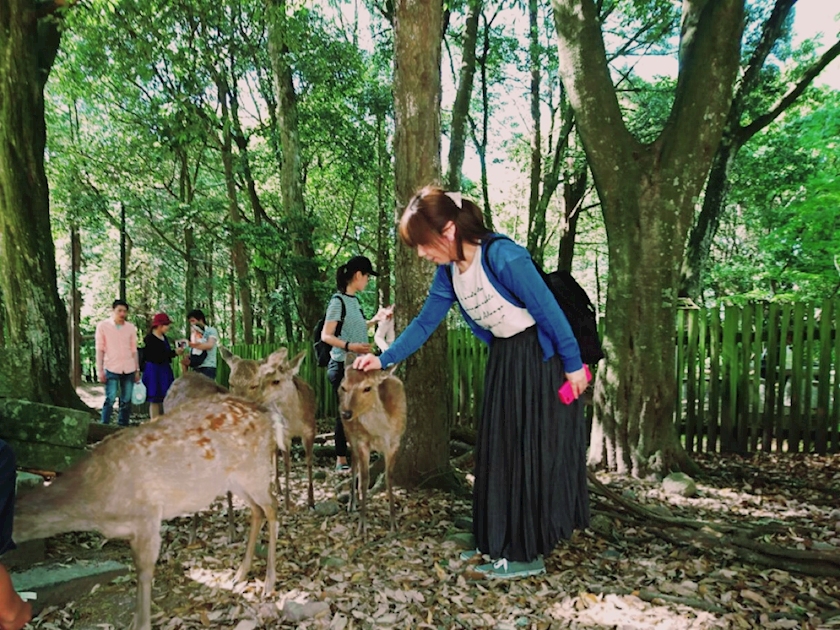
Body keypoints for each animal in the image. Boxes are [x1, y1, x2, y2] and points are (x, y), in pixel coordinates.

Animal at [13, 398, 280, 630]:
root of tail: (268, 415)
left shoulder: (147, 516)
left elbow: (144, 571)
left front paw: (141, 624)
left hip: (255, 469)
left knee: (273, 508)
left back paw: (268, 583)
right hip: (235, 480)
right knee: (257, 510)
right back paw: (240, 574)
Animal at [218, 348, 316, 512]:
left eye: (276, 380)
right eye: (230, 383)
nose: (259, 400)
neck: (296, 421)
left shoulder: (310, 430)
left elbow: (309, 462)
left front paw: (311, 501)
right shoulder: (285, 434)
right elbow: (287, 465)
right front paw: (288, 503)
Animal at [336, 356, 406, 540]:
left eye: (367, 387)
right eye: (344, 387)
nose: (346, 413)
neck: (381, 432)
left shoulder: (395, 443)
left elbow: (389, 478)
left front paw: (394, 524)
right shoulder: (361, 441)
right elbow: (364, 480)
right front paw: (362, 527)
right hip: (349, 434)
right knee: (354, 466)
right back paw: (352, 503)